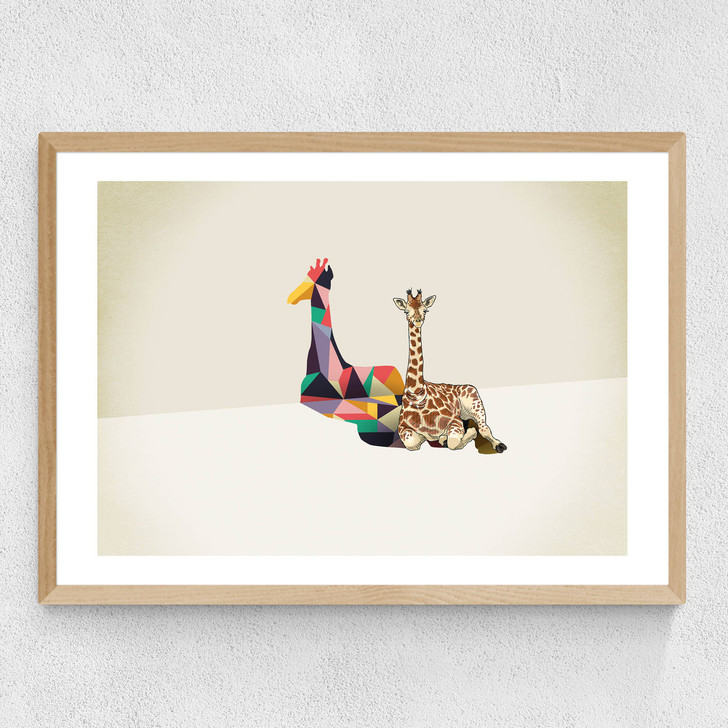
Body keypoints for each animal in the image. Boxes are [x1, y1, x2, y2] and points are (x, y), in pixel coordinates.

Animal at [392, 289, 507, 453]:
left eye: (425, 310)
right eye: (406, 311)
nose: (418, 320)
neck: (417, 394)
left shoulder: (455, 420)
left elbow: (454, 442)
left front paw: (469, 433)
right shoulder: (404, 428)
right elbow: (412, 443)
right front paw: (441, 438)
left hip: (474, 399)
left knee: (484, 428)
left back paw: (498, 444)